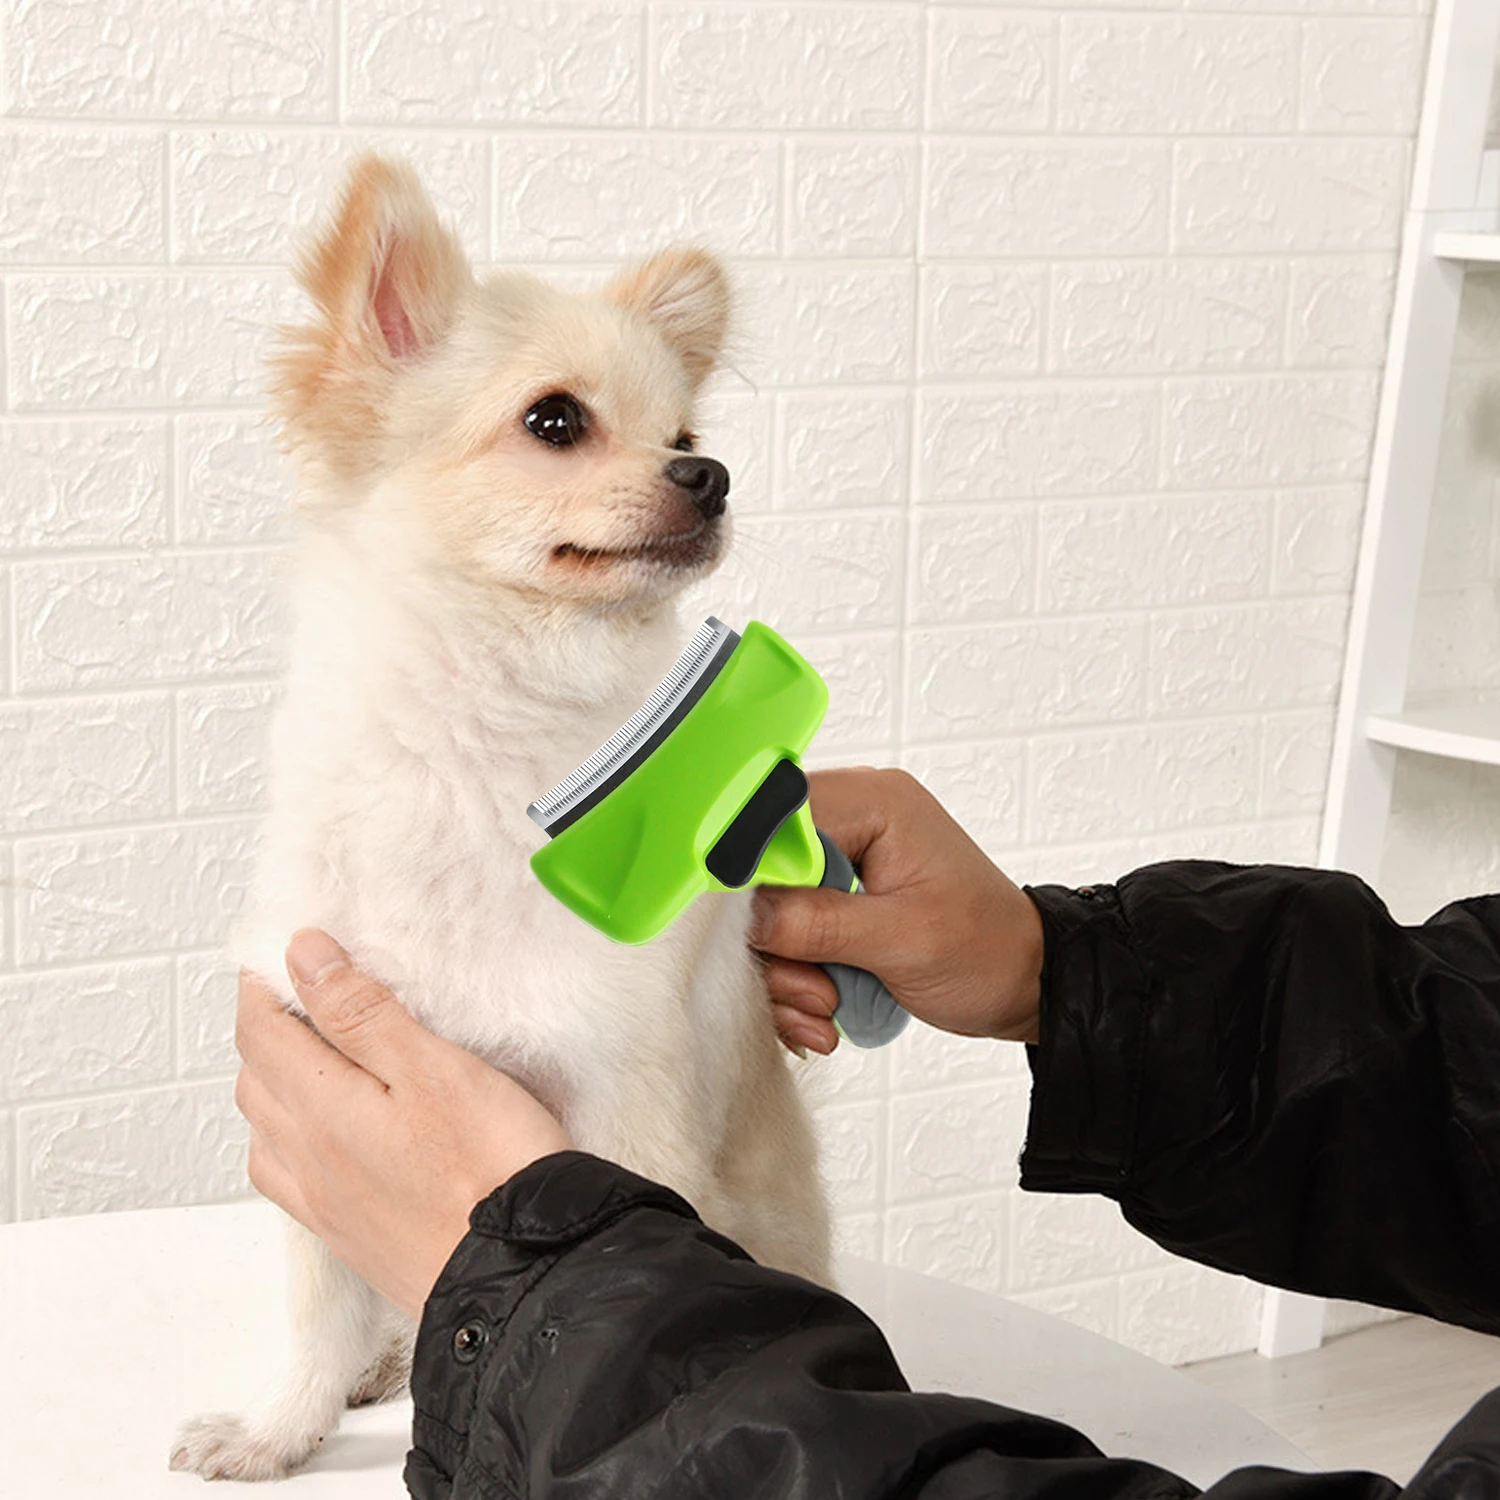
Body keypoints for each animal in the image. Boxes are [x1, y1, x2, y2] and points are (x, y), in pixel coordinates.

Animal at [170, 155, 831, 1481]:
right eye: (555, 422)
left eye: (687, 437)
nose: (711, 477)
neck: (480, 736)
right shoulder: (317, 1075)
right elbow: (316, 1308)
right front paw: (280, 1432)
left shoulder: (619, 1104)